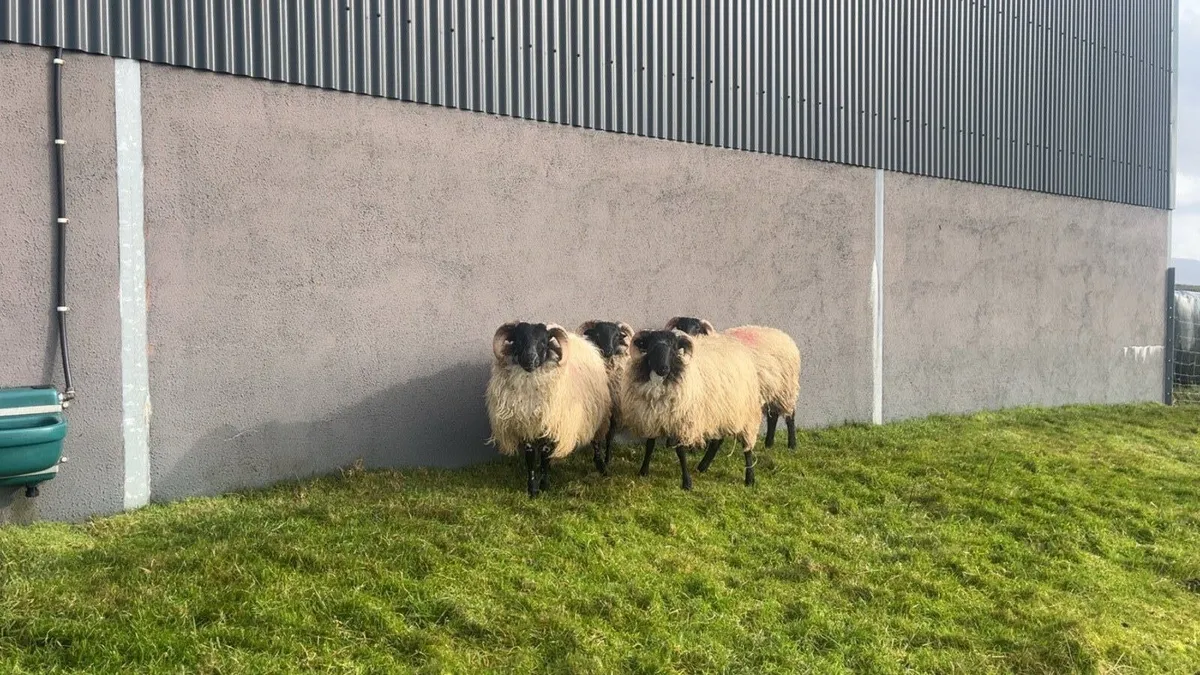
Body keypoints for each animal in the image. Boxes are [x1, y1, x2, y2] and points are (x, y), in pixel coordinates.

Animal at [486, 321, 612, 497]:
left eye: (544, 342)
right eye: (518, 339)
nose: (530, 359)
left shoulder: (552, 427)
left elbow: (545, 456)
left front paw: (544, 485)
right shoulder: (526, 426)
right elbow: (530, 459)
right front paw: (532, 489)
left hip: (595, 414)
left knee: (596, 441)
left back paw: (601, 467)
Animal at [577, 320, 635, 465]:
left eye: (617, 335)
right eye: (597, 334)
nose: (608, 351)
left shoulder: (615, 411)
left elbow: (609, 437)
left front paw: (607, 459)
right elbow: (596, 437)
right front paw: (598, 460)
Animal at [619, 329, 763, 490]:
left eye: (674, 348)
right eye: (651, 346)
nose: (663, 368)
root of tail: (735, 345)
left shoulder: (681, 422)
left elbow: (680, 451)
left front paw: (687, 483)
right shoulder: (653, 417)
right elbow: (649, 445)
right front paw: (643, 471)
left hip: (745, 413)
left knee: (747, 446)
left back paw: (750, 478)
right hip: (719, 411)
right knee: (717, 441)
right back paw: (702, 467)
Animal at [666, 317, 802, 450]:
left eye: (697, 328)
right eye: (680, 326)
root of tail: (784, 336)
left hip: (786, 389)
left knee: (790, 416)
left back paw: (792, 445)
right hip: (772, 389)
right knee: (773, 416)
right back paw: (768, 444)